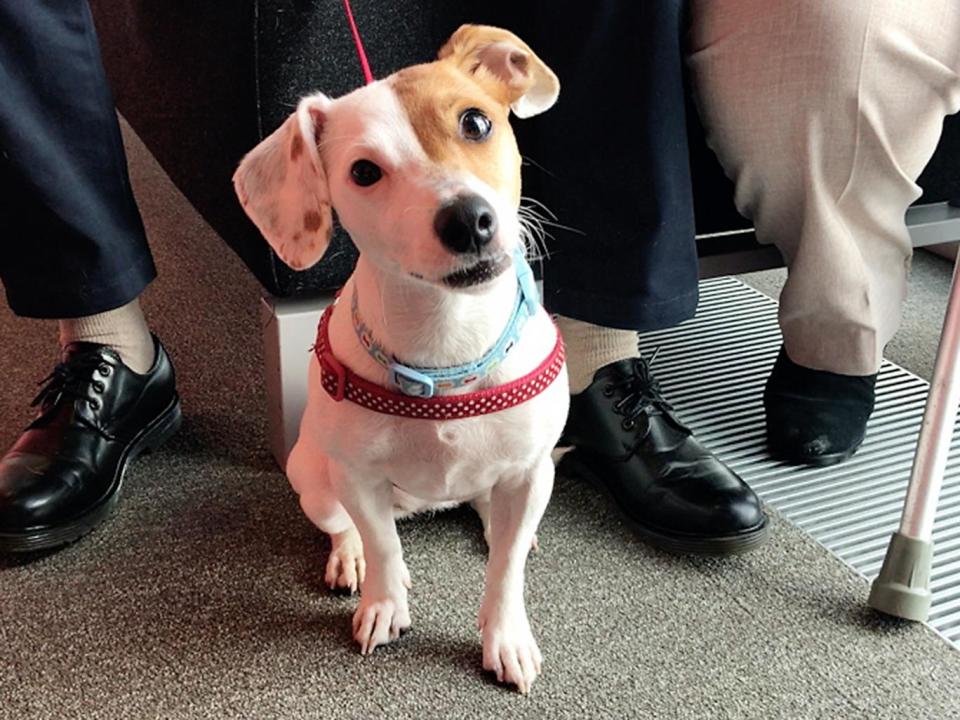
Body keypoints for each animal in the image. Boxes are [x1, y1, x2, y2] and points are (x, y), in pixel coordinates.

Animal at [233, 25, 568, 696]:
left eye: (475, 122)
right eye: (364, 171)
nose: (468, 220)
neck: (447, 342)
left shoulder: (529, 470)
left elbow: (505, 572)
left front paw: (506, 635)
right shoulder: (358, 478)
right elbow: (385, 548)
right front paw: (385, 604)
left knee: (498, 521)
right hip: (312, 477)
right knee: (349, 526)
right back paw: (349, 556)